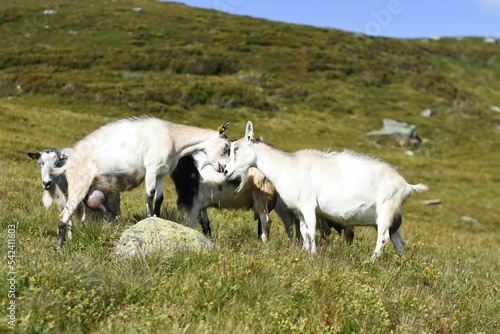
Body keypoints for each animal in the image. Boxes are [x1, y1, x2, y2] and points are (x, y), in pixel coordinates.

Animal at [50, 118, 230, 248]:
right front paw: (150, 218)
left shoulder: (161, 173)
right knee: (64, 215)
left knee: (83, 217)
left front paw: (157, 218)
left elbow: (159, 198)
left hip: (90, 195)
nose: (225, 169)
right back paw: (59, 246)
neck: (173, 138)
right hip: (79, 184)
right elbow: (150, 195)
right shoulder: (151, 168)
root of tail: (69, 162)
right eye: (226, 147)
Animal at [225, 121, 428, 260]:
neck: (289, 167)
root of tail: (406, 186)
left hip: (386, 209)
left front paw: (313, 255)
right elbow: (304, 231)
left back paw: (370, 262)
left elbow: (311, 230)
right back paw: (400, 265)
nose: (225, 171)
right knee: (398, 241)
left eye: (236, 149)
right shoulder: (299, 210)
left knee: (383, 238)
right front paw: (305, 253)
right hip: (390, 217)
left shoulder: (309, 206)